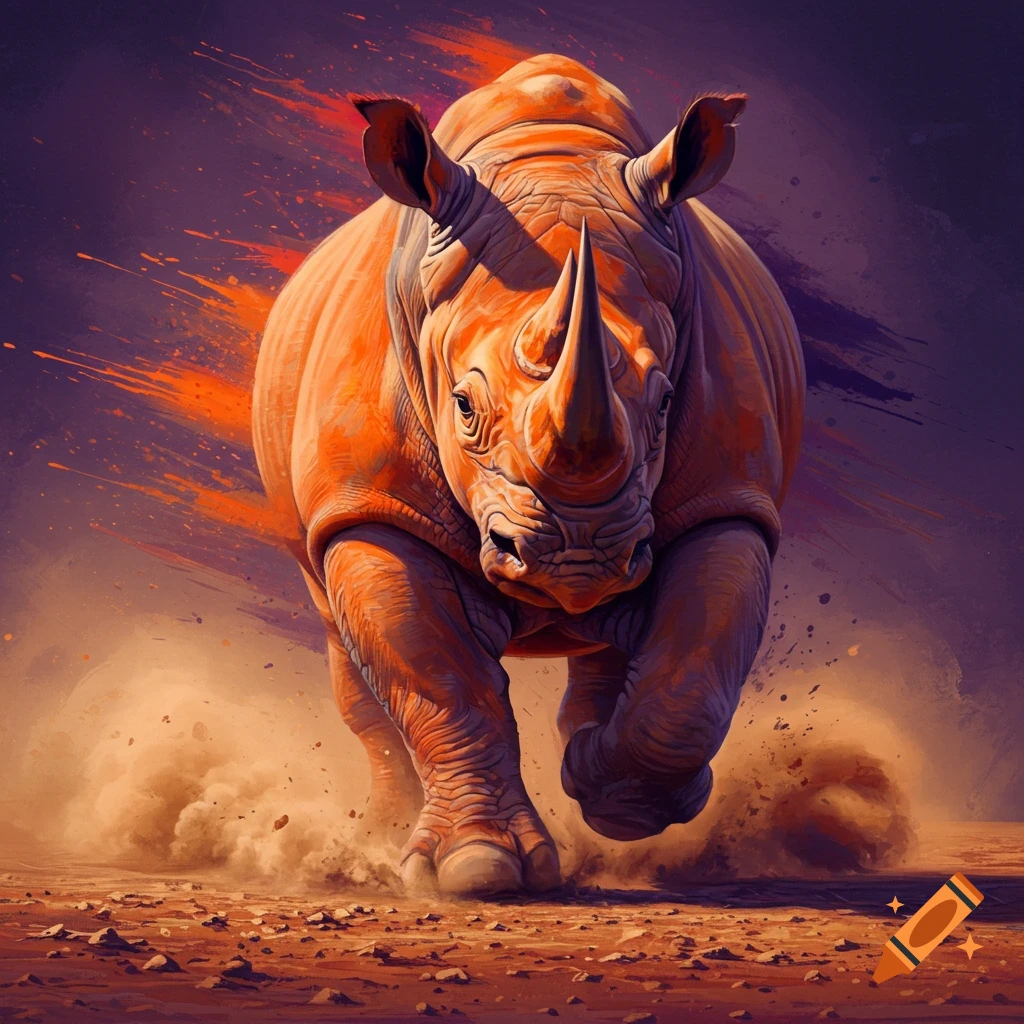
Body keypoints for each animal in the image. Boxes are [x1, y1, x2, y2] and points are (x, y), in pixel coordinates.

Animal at [253, 54, 805, 896]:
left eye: (665, 400)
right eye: (463, 406)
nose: (576, 560)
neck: (551, 160)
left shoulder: (728, 496)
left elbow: (691, 676)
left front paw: (615, 797)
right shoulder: (370, 505)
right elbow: (442, 683)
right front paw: (477, 869)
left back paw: (593, 753)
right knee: (345, 645)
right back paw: (380, 834)